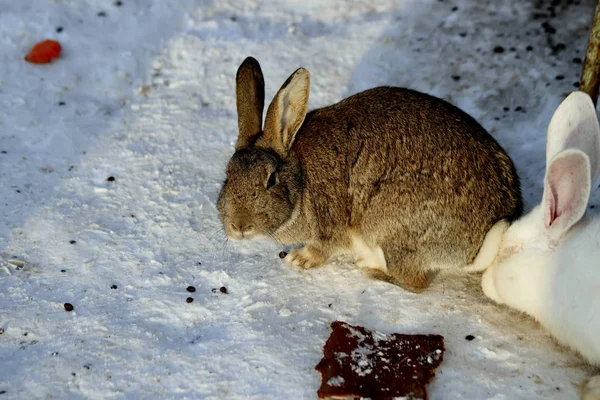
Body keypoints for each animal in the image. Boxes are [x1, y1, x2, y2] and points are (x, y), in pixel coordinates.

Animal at [218, 57, 524, 290]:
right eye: (227, 175)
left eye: (271, 179)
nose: (239, 226)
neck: (300, 175)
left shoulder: (330, 225)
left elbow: (323, 248)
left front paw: (299, 259)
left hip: (387, 230)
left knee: (415, 282)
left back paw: (371, 270)